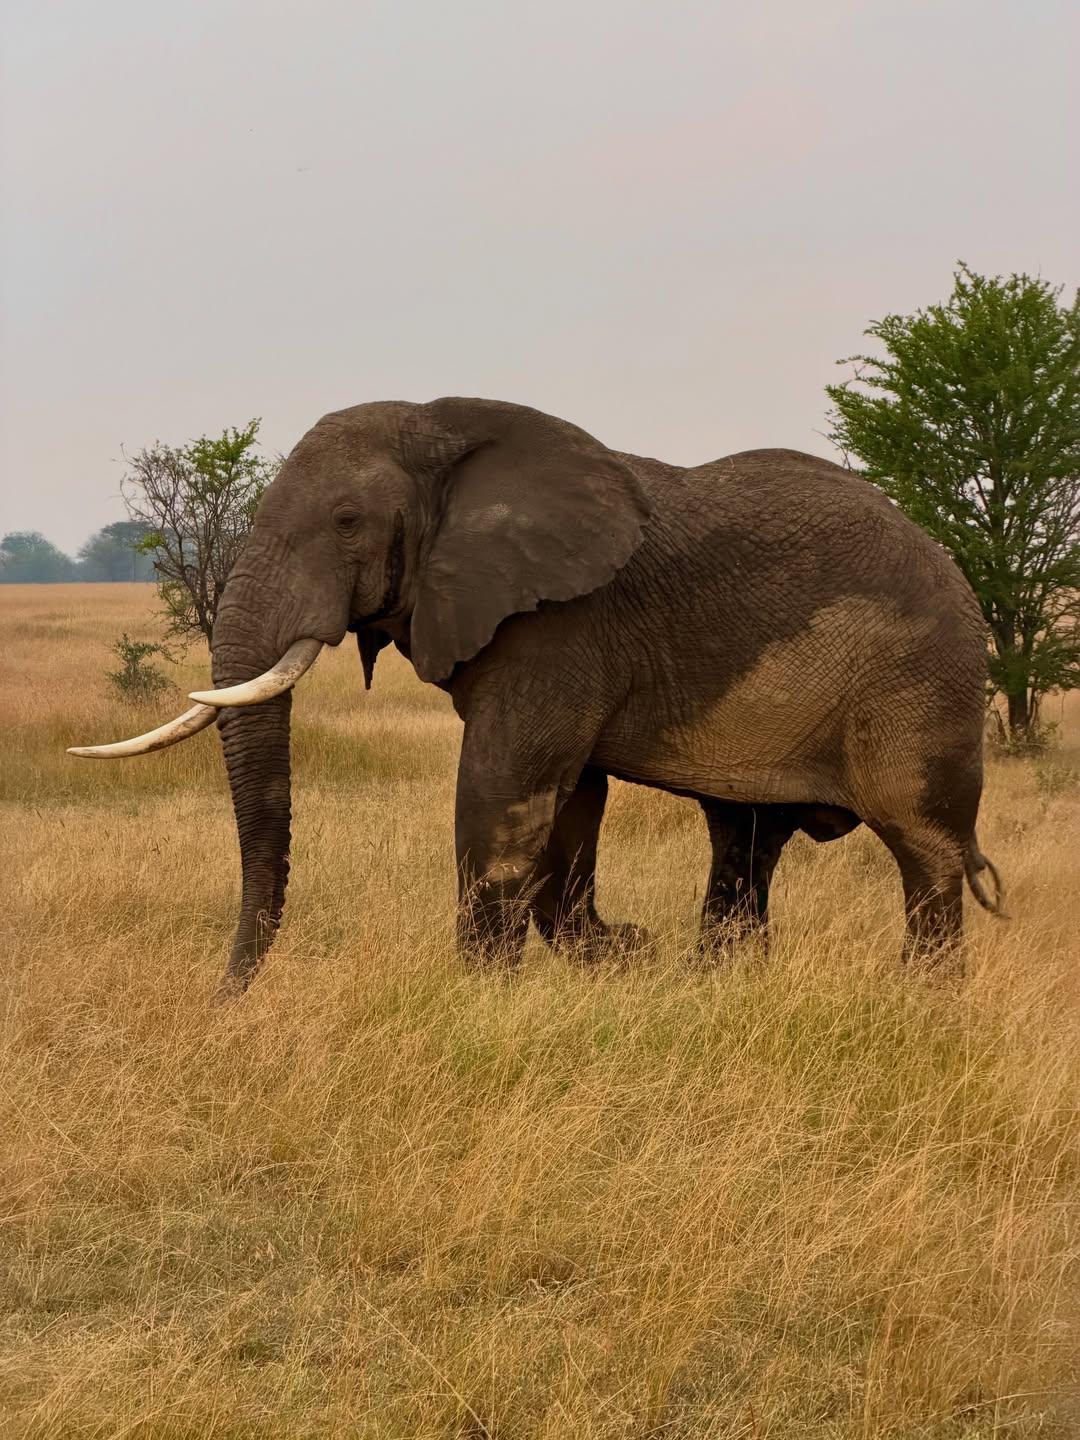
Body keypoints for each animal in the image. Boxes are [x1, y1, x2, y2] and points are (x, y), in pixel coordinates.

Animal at [70, 397, 1004, 995]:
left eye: (345, 522)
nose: (218, 1001)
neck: (445, 431)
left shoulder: (564, 623)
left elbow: (501, 792)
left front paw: (482, 1001)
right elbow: (567, 806)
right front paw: (623, 958)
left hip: (923, 686)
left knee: (924, 852)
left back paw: (924, 1005)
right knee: (744, 841)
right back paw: (716, 984)